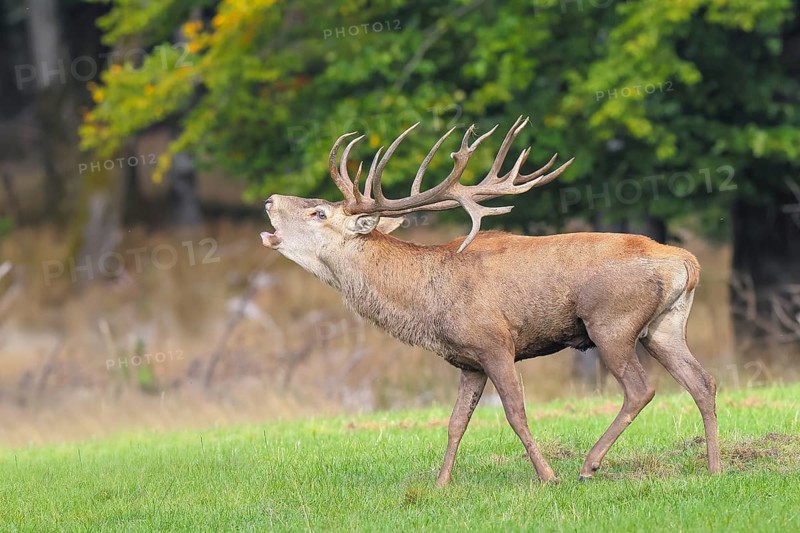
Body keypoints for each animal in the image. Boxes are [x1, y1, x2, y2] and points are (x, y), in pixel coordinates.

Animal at [261, 116, 722, 484]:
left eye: (319, 212)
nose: (269, 199)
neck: (427, 303)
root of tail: (687, 262)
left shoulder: (495, 342)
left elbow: (515, 413)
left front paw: (547, 477)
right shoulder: (468, 360)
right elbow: (455, 423)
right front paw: (441, 484)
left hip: (612, 322)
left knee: (641, 389)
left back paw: (588, 466)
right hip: (664, 327)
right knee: (702, 381)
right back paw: (714, 467)